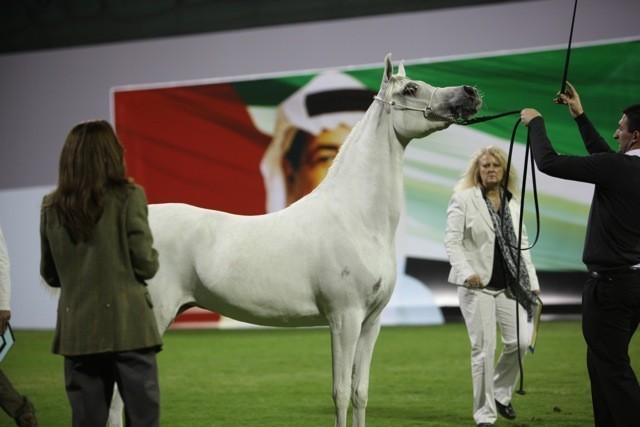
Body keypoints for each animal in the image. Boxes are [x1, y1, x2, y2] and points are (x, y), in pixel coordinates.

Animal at [109, 53, 481, 427]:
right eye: (410, 89)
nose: (470, 93)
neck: (355, 217)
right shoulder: (344, 318)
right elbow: (340, 393)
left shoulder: (370, 322)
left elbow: (360, 392)